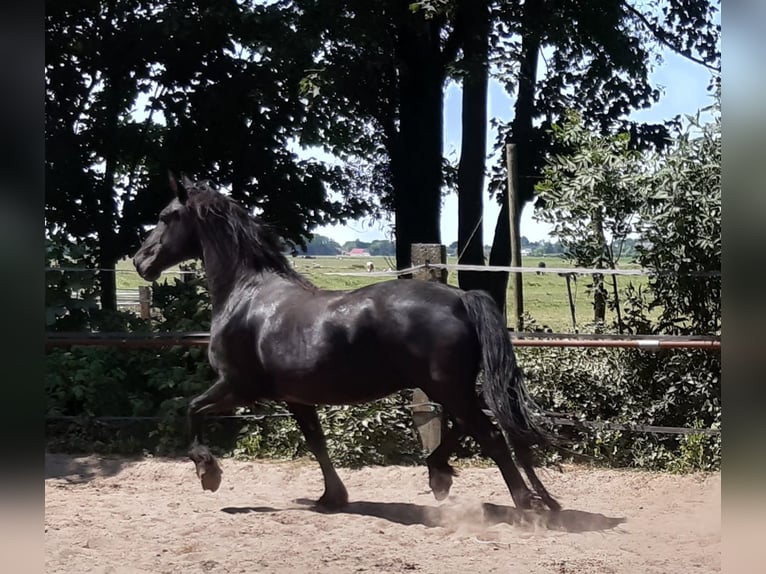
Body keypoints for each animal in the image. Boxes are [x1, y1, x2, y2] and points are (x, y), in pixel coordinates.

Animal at [134, 176, 564, 512]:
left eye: (165, 216)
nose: (140, 261)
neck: (247, 295)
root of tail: (461, 298)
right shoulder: (295, 397)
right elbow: (317, 442)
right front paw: (331, 497)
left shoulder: (238, 386)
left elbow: (192, 410)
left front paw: (208, 472)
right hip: (449, 387)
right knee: (470, 427)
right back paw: (442, 475)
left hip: (447, 387)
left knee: (490, 435)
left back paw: (525, 504)